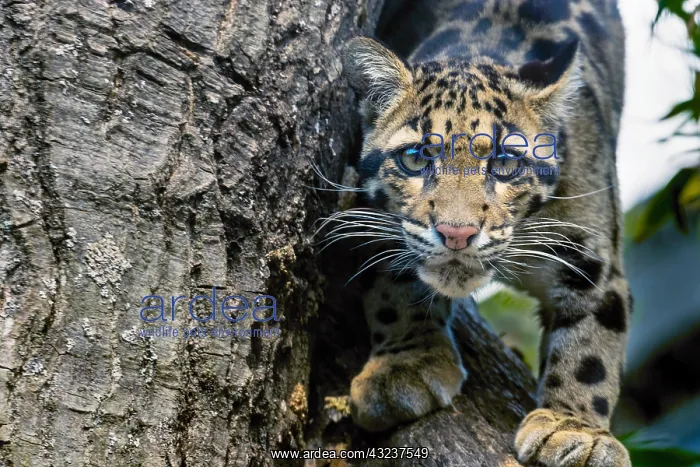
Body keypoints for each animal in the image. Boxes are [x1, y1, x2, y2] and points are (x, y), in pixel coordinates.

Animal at [331, 0, 632, 465]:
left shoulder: (590, 257)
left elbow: (591, 346)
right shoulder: (383, 222)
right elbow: (393, 286)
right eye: (415, 158)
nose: (457, 233)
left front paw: (575, 430)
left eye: (505, 163)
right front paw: (405, 362)